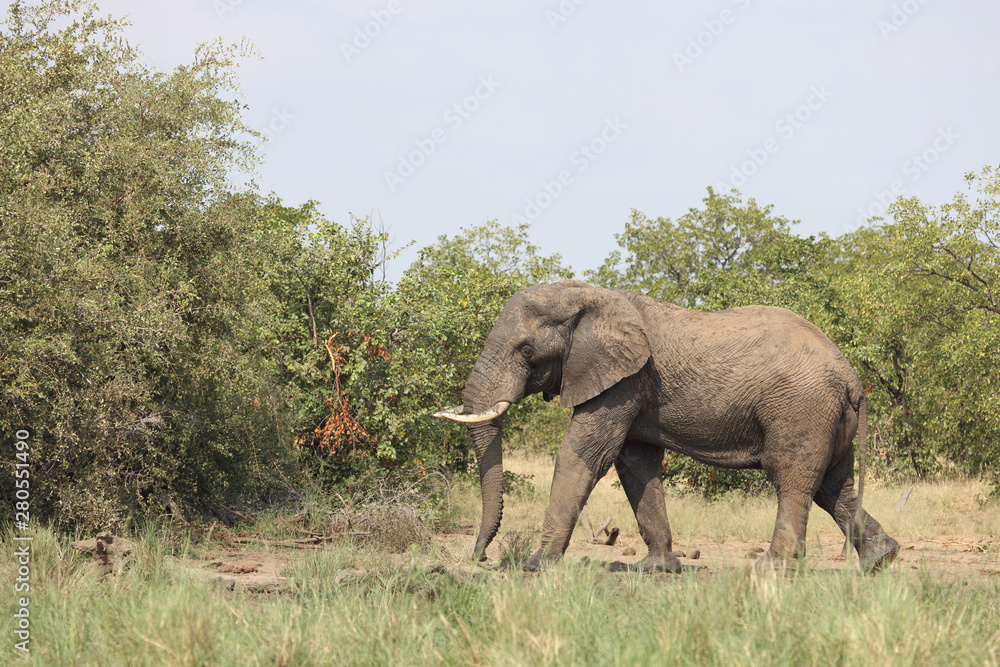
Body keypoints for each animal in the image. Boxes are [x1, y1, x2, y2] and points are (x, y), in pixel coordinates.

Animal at [434, 280, 900, 573]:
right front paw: (656, 569)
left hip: (800, 407)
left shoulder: (625, 380)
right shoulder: (631, 386)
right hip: (826, 415)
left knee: (792, 477)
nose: (480, 559)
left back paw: (773, 569)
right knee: (834, 485)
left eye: (526, 350)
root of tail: (852, 377)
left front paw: (535, 565)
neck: (590, 295)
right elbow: (635, 464)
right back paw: (882, 560)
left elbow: (585, 454)